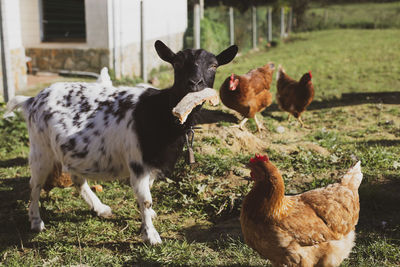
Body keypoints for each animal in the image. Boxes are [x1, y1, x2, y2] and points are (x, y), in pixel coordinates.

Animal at [7, 40, 238, 246]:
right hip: (40, 150)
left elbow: (146, 195)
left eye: (214, 65)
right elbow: (145, 198)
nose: (195, 83)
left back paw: (100, 208)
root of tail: (31, 100)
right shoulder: (138, 162)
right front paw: (152, 236)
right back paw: (36, 221)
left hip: (70, 151)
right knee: (35, 184)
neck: (162, 112)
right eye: (177, 63)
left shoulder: (151, 164)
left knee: (77, 179)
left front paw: (148, 219)